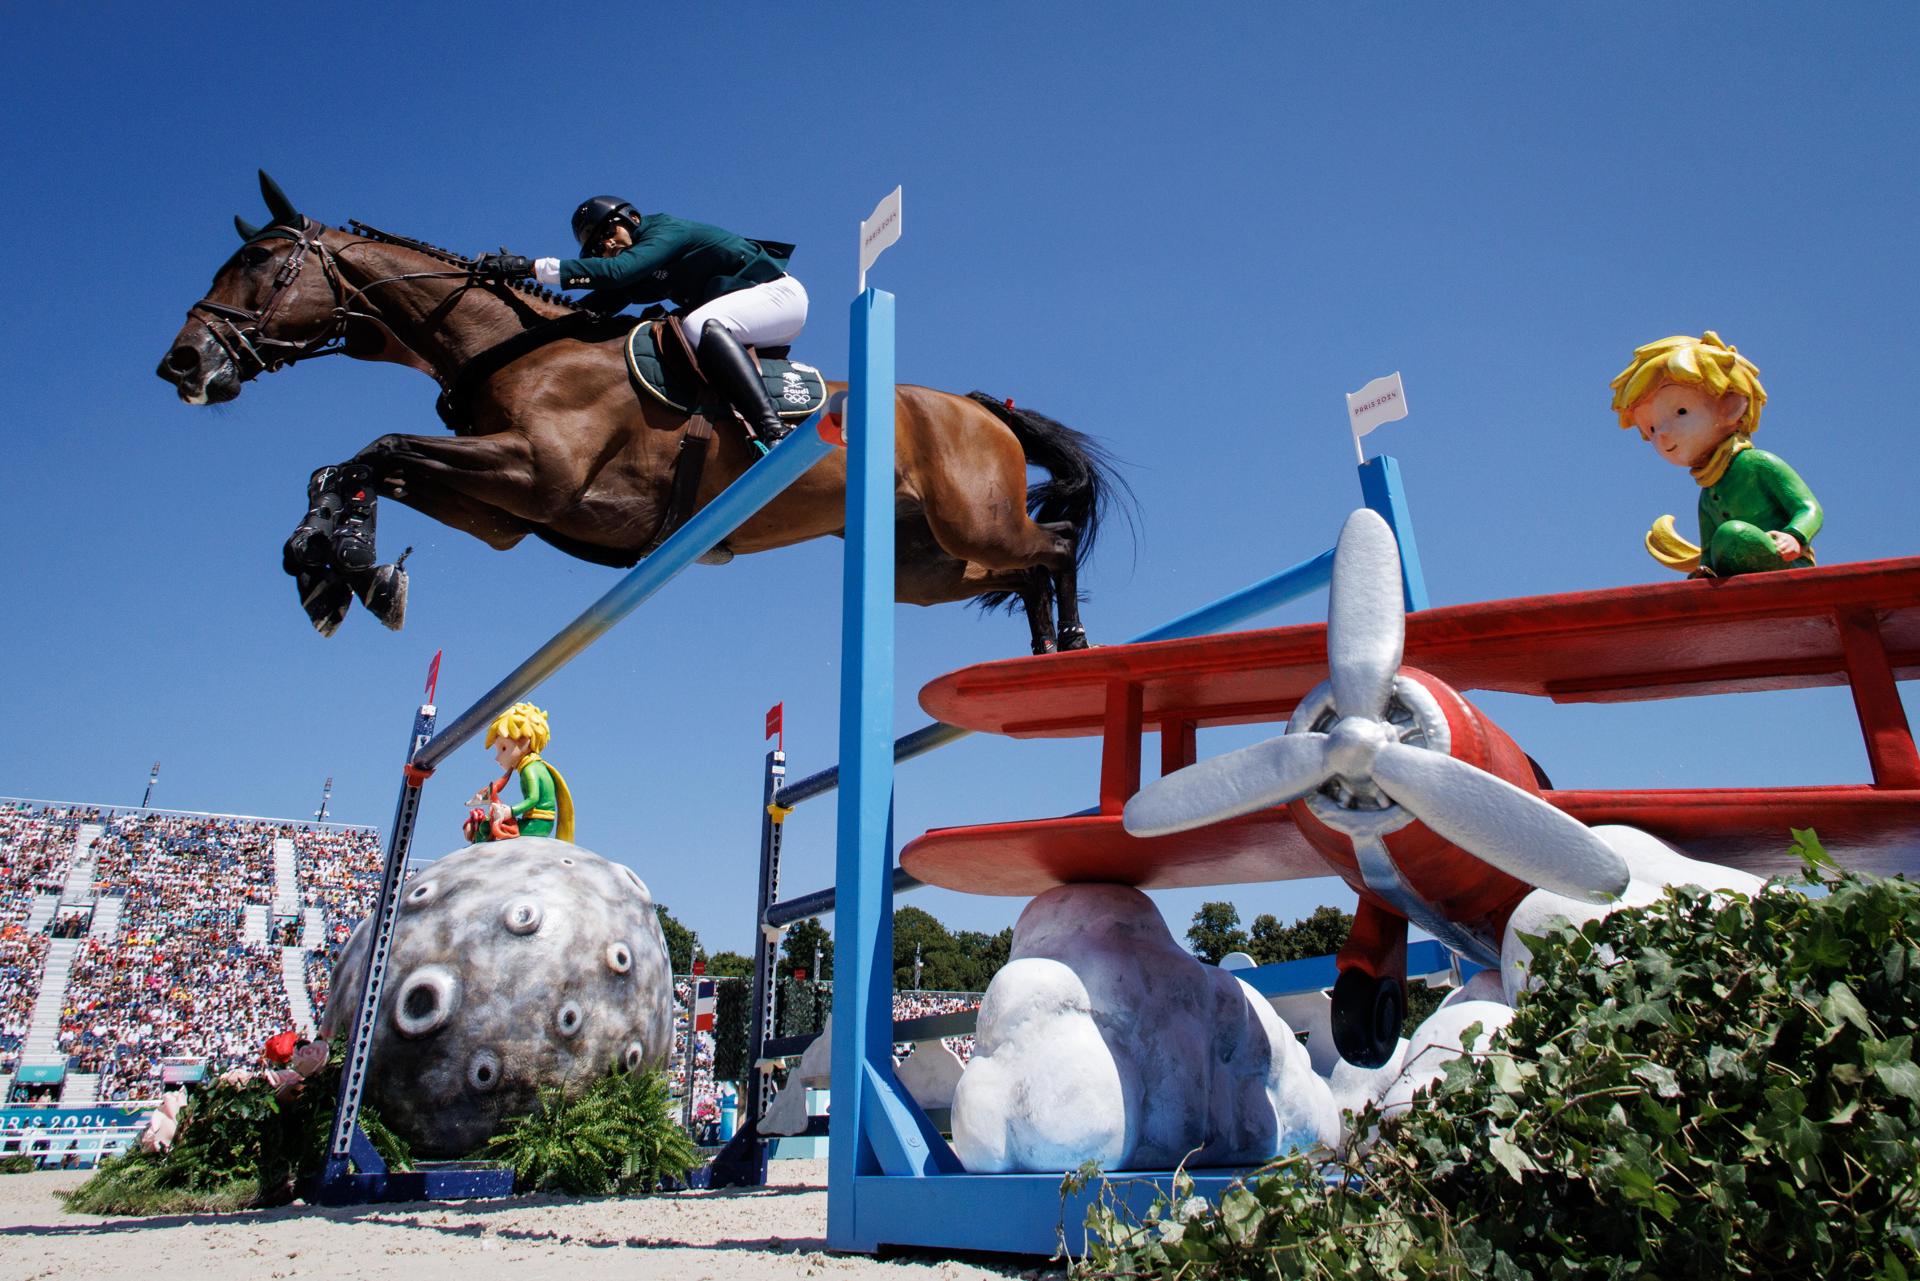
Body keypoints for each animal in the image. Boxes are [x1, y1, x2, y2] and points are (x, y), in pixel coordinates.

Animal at [165, 172, 1128, 652]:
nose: (183, 362)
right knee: (1016, 571)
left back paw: (1076, 641)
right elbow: (361, 461)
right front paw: (338, 565)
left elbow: (382, 443)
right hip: (920, 566)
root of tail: (978, 407)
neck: (510, 347)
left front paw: (336, 567)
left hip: (976, 518)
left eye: (259, 263)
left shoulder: (538, 475)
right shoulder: (504, 512)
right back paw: (1044, 653)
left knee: (1051, 545)